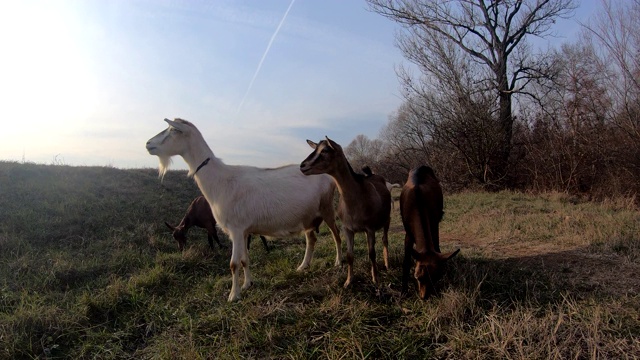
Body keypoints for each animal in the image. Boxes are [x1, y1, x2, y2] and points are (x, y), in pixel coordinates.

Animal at [147, 118, 342, 300]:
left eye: (173, 130)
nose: (148, 144)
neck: (219, 181)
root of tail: (330, 176)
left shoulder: (235, 228)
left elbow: (233, 264)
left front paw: (233, 295)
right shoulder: (244, 230)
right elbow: (244, 260)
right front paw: (247, 284)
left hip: (326, 208)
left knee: (336, 234)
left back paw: (338, 262)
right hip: (307, 216)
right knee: (311, 239)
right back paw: (303, 266)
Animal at [298, 136, 390, 288]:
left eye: (325, 150)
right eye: (315, 148)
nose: (302, 166)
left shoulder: (370, 228)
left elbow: (372, 253)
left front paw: (375, 279)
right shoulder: (347, 228)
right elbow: (349, 255)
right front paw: (348, 281)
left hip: (387, 219)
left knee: (384, 239)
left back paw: (387, 264)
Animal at [400, 166, 460, 298]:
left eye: (437, 277)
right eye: (417, 276)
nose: (424, 297)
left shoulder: (434, 224)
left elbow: (437, 248)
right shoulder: (408, 232)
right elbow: (406, 261)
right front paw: (403, 291)